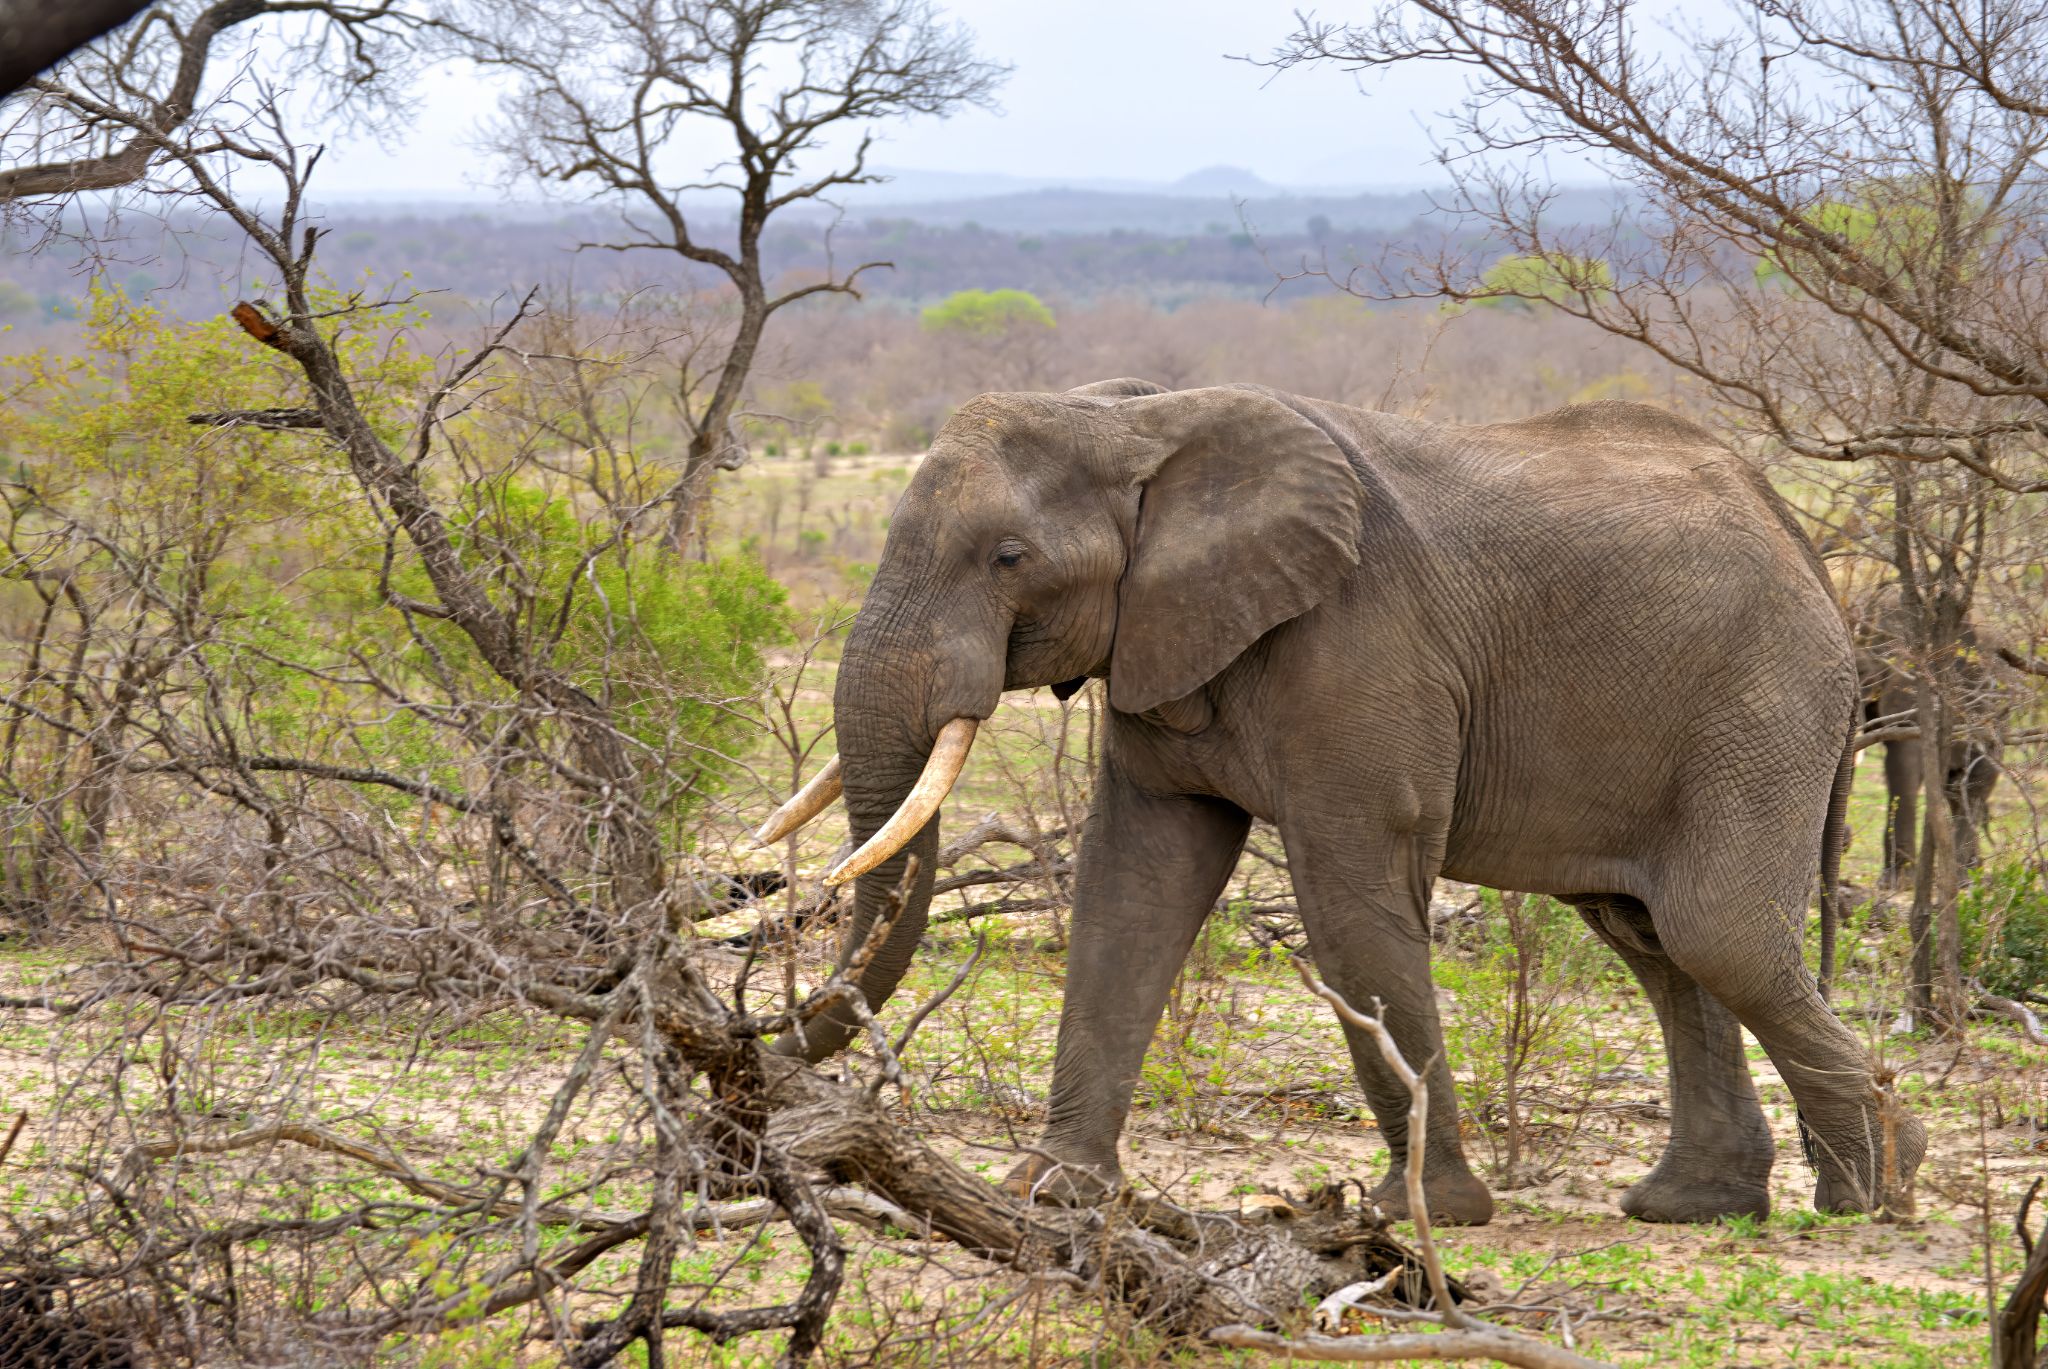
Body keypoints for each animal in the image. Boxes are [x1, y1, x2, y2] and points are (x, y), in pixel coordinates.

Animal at [757, 378, 1926, 1226]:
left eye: (1007, 557)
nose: (765, 1048)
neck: (1135, 416)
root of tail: (1796, 534)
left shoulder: (1360, 645)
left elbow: (1352, 895)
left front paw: (1422, 1215)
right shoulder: (1161, 643)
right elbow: (1133, 884)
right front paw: (1047, 1193)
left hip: (1762, 701)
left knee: (1715, 931)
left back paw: (1875, 1186)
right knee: (1652, 937)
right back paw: (1693, 1206)